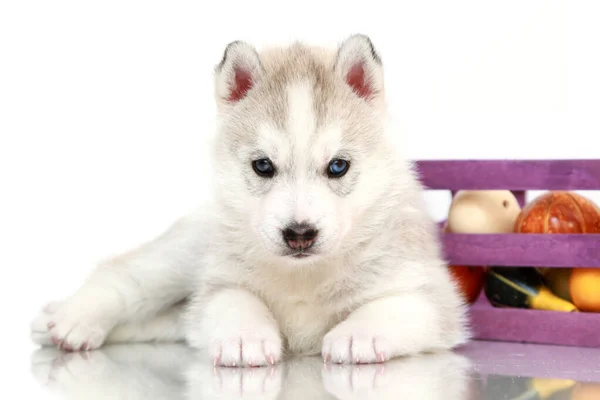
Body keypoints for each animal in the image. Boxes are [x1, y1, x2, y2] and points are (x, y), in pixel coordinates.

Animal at [30, 36, 468, 368]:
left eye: (338, 166)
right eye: (263, 165)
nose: (299, 234)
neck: (304, 275)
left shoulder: (432, 294)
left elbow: (397, 306)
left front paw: (358, 333)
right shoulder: (218, 282)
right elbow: (236, 300)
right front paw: (246, 338)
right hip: (180, 257)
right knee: (122, 277)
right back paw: (70, 319)